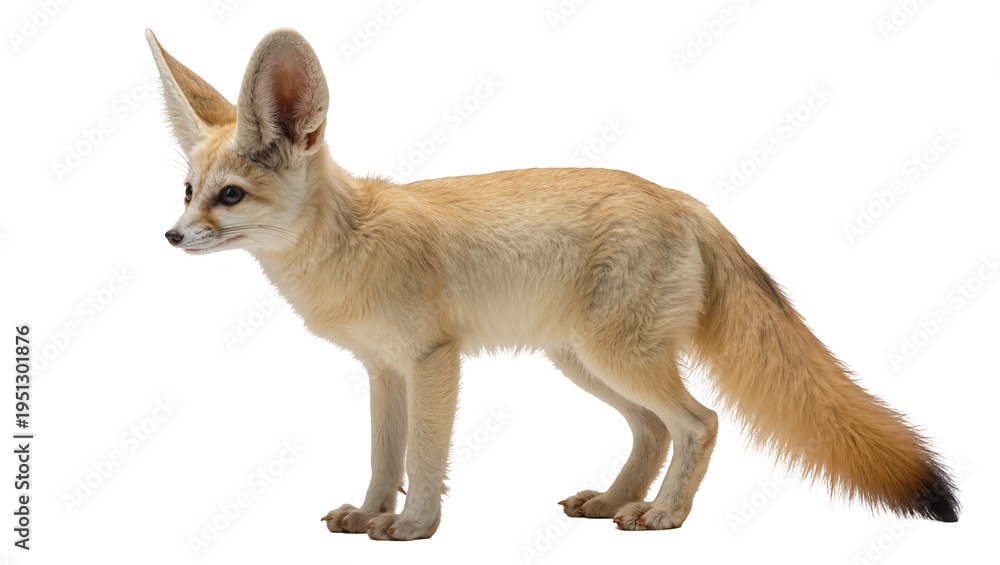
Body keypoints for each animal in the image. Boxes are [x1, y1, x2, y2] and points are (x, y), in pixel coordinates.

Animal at [146, 27, 959, 541]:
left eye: (229, 197)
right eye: (186, 191)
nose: (171, 237)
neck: (349, 242)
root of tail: (682, 198)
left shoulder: (433, 361)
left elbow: (424, 460)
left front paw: (413, 526)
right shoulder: (383, 370)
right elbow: (383, 458)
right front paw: (371, 513)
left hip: (615, 359)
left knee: (699, 422)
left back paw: (663, 515)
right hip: (584, 363)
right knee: (654, 429)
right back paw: (615, 500)